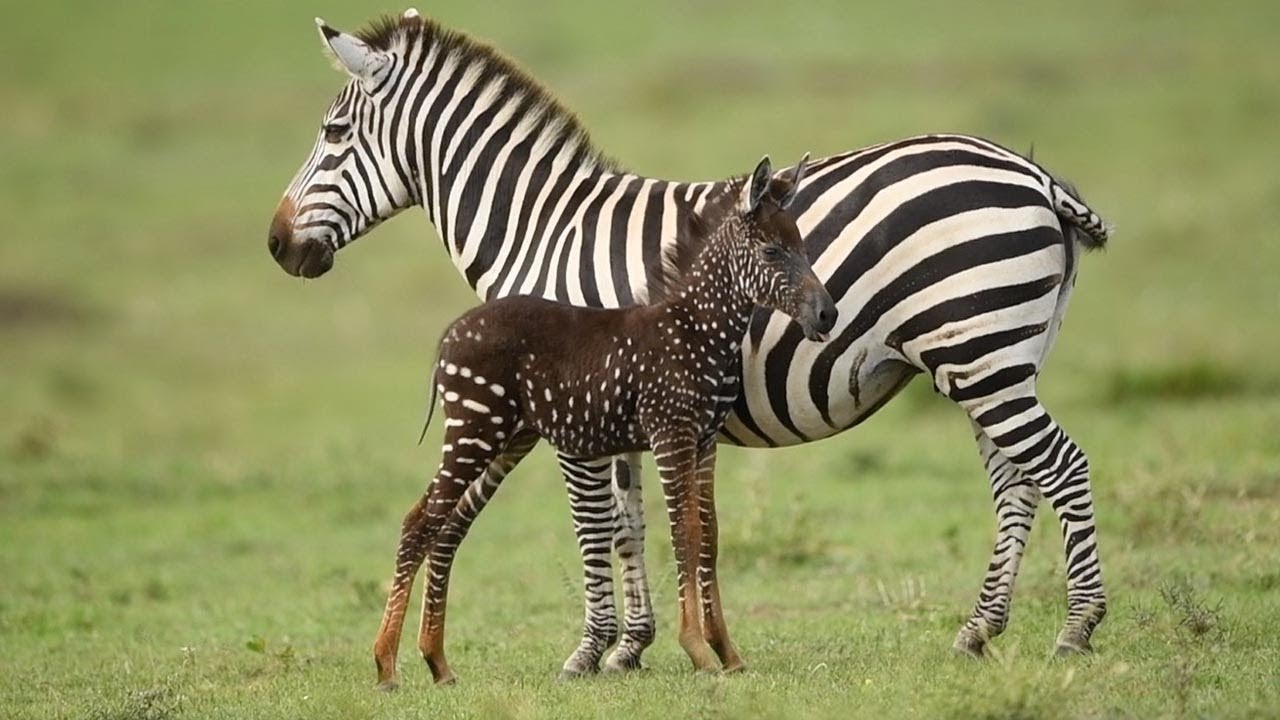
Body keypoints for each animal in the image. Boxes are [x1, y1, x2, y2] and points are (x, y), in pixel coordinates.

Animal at [371, 155, 834, 681]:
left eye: (803, 247)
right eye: (773, 252)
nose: (827, 315)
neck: (695, 328)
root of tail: (451, 333)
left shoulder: (703, 441)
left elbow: (709, 534)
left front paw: (728, 654)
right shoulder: (670, 434)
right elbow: (683, 533)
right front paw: (697, 650)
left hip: (504, 438)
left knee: (444, 525)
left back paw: (437, 662)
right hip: (474, 430)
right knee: (419, 522)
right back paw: (386, 665)